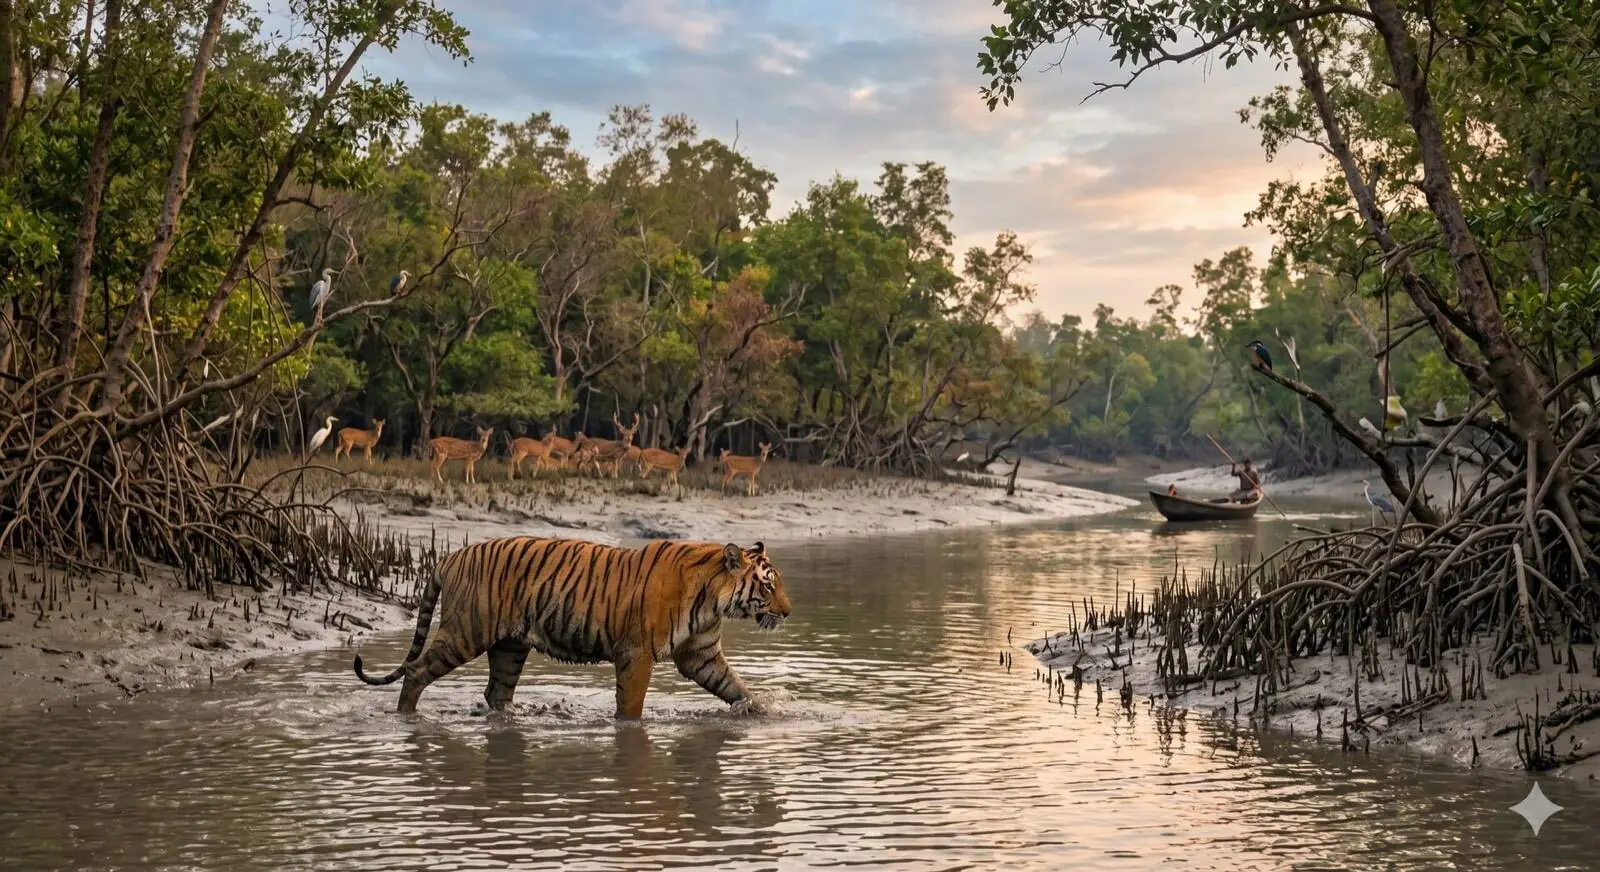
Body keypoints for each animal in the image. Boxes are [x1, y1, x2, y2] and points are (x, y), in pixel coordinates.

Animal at [353, 537, 791, 719]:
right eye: (769, 585)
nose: (788, 613)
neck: (712, 599)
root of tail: (451, 557)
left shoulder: (701, 655)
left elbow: (735, 686)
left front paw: (758, 710)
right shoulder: (637, 655)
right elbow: (630, 707)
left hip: (510, 646)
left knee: (496, 691)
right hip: (465, 631)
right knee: (415, 670)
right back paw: (406, 719)